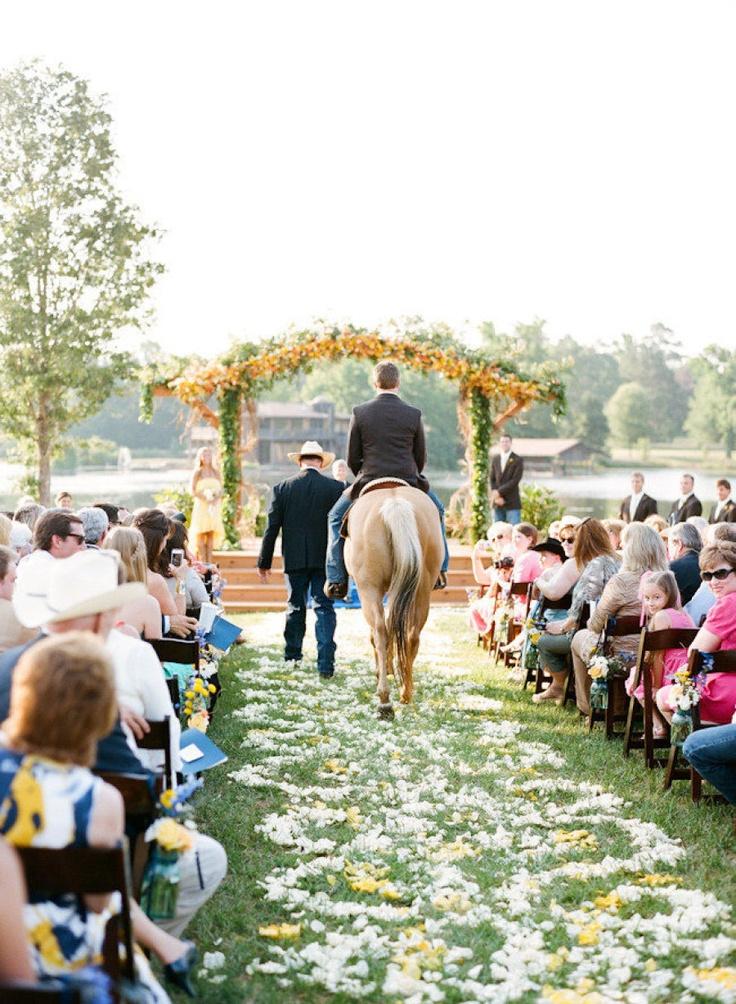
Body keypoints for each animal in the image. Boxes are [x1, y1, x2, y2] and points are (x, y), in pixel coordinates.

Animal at [345, 483, 441, 714]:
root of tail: (395, 504)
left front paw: (382, 670)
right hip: (421, 589)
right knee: (411, 634)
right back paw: (405, 691)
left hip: (368, 588)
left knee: (380, 631)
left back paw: (384, 699)